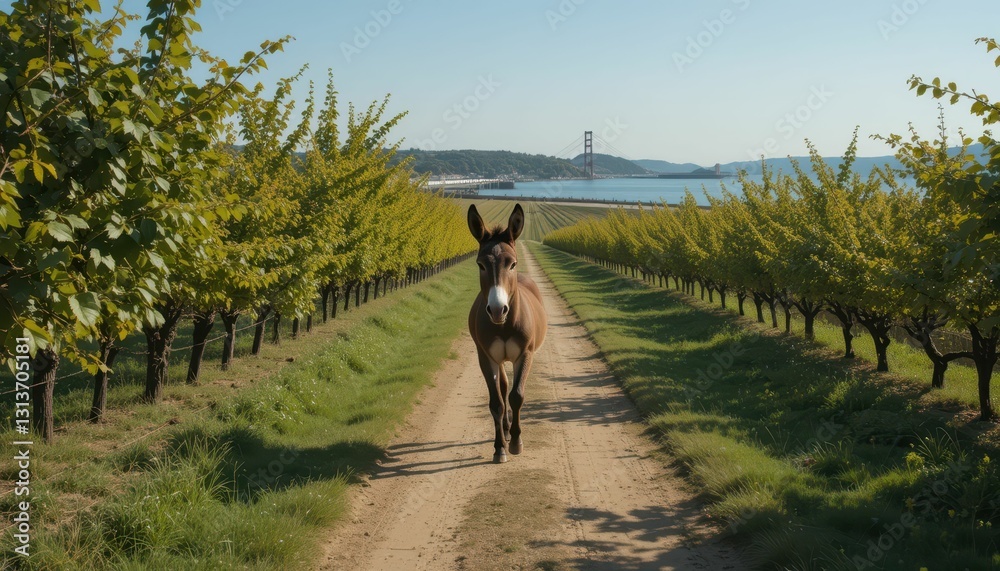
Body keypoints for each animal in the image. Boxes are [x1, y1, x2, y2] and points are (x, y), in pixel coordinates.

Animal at [467, 203, 548, 464]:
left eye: (512, 263)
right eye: (481, 264)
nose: (497, 309)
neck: (503, 325)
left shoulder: (525, 354)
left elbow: (516, 396)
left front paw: (516, 442)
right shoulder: (486, 357)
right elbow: (497, 402)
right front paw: (499, 447)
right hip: (499, 359)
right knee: (502, 388)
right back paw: (504, 427)